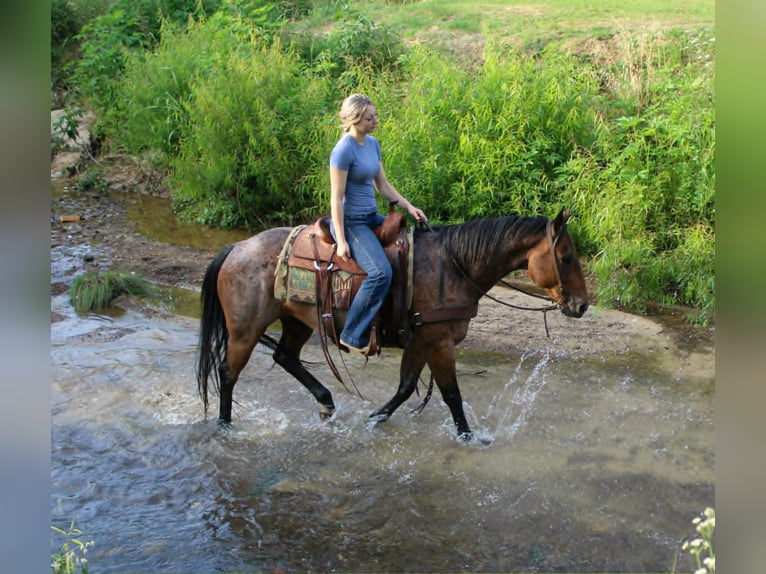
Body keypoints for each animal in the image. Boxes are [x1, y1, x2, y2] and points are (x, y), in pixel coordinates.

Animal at [196, 209, 589, 439]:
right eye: (566, 256)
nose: (582, 305)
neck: (453, 267)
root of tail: (237, 247)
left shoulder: (421, 341)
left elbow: (406, 386)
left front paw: (374, 418)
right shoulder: (438, 341)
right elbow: (451, 394)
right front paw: (468, 437)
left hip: (297, 320)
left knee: (285, 357)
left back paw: (326, 403)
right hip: (245, 329)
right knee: (228, 373)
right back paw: (225, 426)